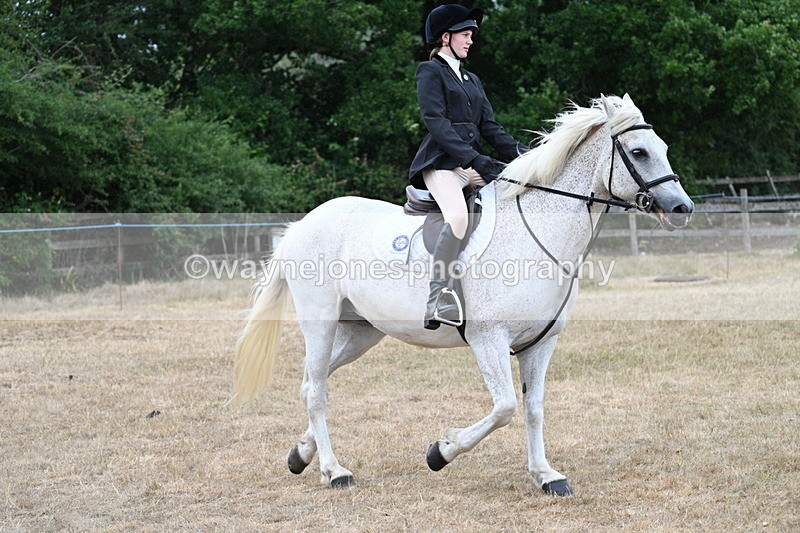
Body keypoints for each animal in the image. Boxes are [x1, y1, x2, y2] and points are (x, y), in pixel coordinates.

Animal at [231, 94, 694, 496]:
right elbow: (505, 407)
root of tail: (302, 224)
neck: (538, 234)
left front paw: (546, 475)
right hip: (320, 320)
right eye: (638, 152)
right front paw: (441, 451)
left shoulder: (541, 343)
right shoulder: (489, 339)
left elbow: (534, 407)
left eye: (663, 148)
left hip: (362, 330)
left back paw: (301, 455)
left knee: (315, 380)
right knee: (317, 390)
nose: (682, 209)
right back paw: (334, 470)